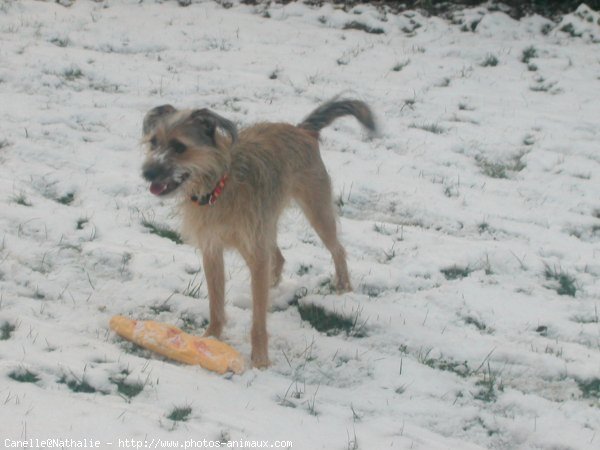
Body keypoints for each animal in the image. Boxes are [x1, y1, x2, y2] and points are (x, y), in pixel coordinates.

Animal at [141, 100, 376, 368]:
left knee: (337, 249)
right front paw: (210, 338)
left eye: (179, 147)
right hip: (265, 228)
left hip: (316, 212)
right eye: (153, 142)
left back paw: (343, 287)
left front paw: (260, 359)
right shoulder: (212, 250)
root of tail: (303, 129)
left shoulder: (254, 247)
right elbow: (216, 303)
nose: (147, 172)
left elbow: (258, 316)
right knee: (278, 258)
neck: (220, 185)